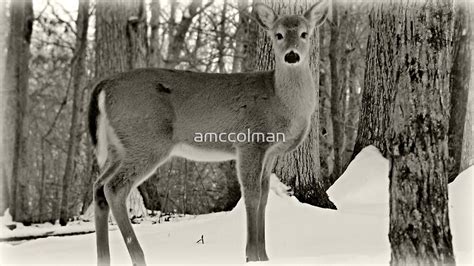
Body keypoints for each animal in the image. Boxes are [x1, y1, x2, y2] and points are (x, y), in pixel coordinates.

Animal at [87, 1, 328, 264]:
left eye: (305, 33)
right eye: (279, 35)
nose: (292, 55)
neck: (280, 101)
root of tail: (103, 86)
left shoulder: (271, 152)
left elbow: (264, 197)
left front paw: (264, 256)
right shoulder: (249, 142)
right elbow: (252, 196)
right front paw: (251, 255)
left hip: (117, 147)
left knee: (98, 186)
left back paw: (103, 258)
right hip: (147, 140)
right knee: (114, 188)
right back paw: (138, 256)